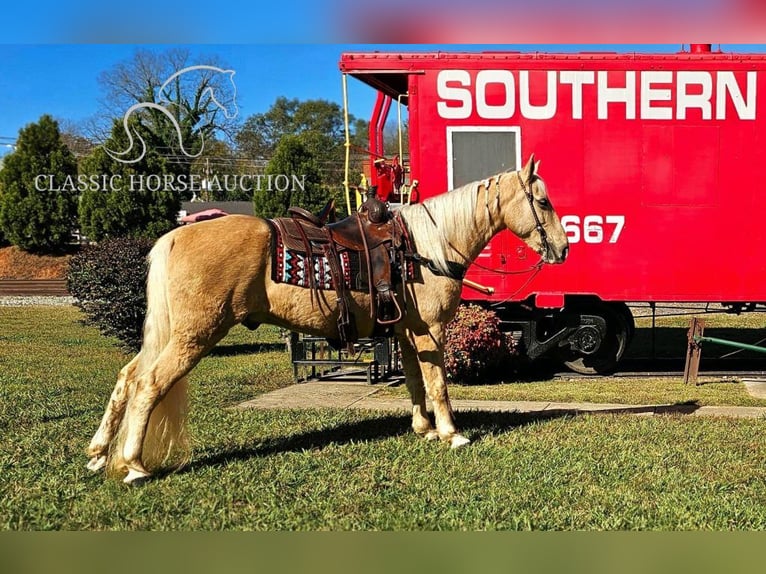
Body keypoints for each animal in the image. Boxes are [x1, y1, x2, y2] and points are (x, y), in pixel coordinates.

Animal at [88, 155, 568, 484]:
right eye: (543, 201)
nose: (562, 249)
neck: (424, 246)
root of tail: (175, 235)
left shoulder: (404, 331)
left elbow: (415, 382)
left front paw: (423, 429)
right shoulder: (430, 330)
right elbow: (438, 383)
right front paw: (452, 434)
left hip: (172, 334)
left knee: (128, 376)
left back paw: (99, 452)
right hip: (195, 335)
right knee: (149, 384)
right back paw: (133, 465)